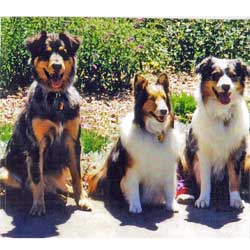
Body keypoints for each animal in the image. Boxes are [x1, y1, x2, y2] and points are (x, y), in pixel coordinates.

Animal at [0, 31, 91, 215]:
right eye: (46, 52)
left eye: (63, 52)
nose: (56, 66)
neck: (56, 98)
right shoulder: (36, 144)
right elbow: (37, 178)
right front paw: (38, 206)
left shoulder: (73, 141)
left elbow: (76, 174)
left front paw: (81, 199)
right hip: (4, 171)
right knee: (25, 187)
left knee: (61, 185)